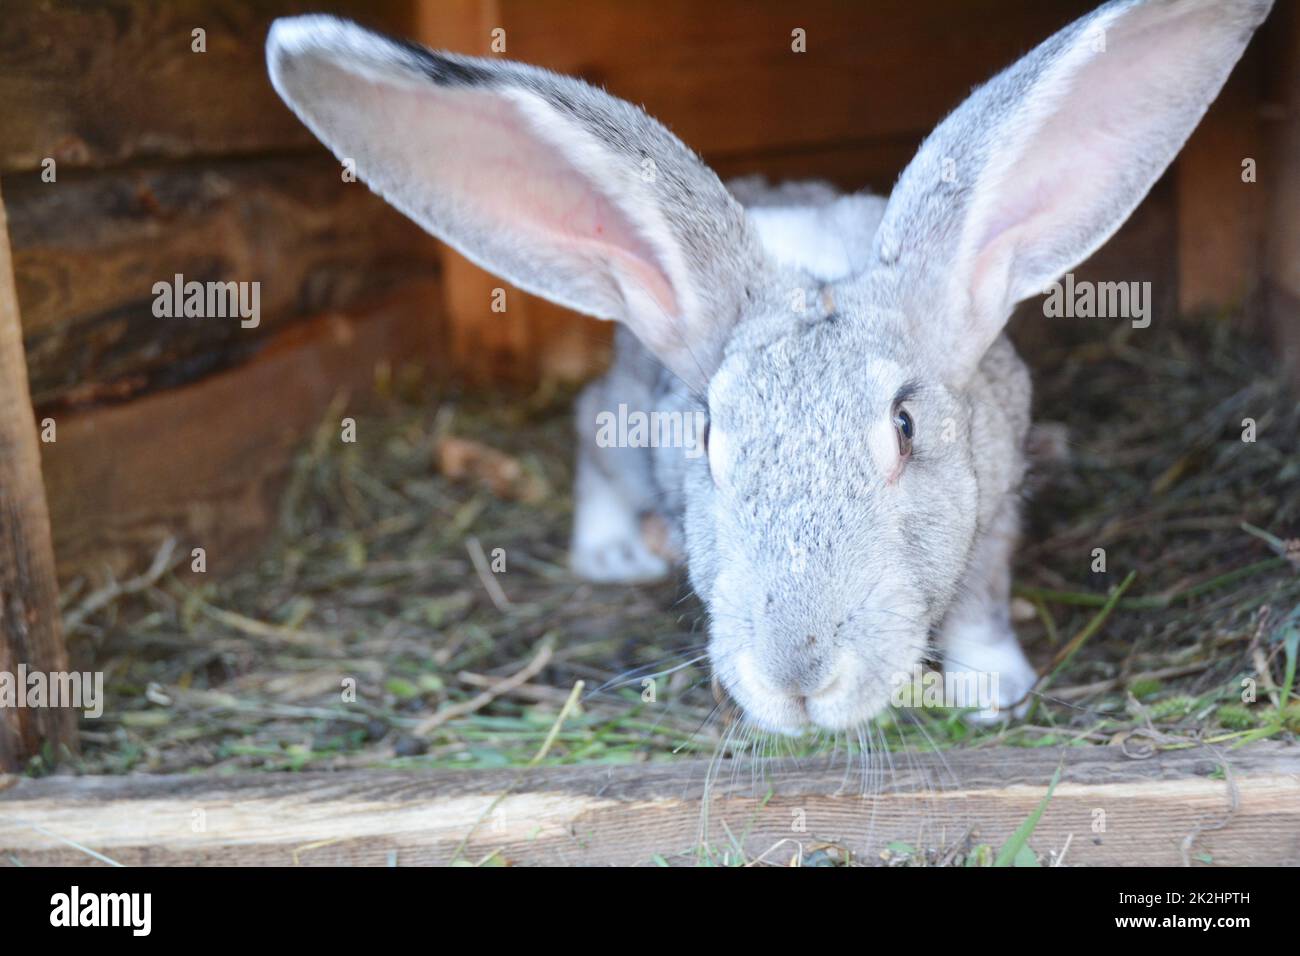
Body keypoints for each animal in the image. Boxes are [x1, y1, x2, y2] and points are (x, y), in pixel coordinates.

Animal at [269, 0, 1274, 733]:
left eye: (906, 427)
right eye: (712, 436)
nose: (799, 674)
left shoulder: (994, 514)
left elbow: (982, 604)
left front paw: (993, 694)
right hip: (623, 413)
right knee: (591, 425)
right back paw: (615, 551)